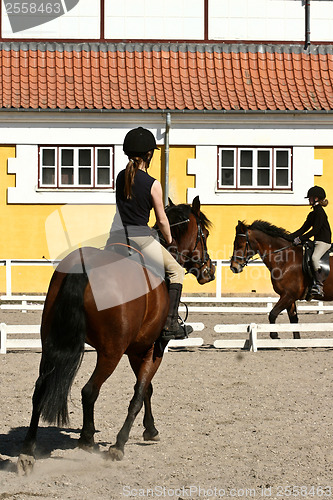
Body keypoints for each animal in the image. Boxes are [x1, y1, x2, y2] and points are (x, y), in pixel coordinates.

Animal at [16, 195, 214, 472]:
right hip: (111, 352)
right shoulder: (152, 349)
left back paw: (27, 452)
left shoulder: (136, 350)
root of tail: (83, 267)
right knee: (89, 391)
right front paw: (121, 444)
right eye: (204, 234)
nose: (210, 271)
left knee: (41, 390)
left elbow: (146, 389)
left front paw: (150, 430)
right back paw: (88, 439)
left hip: (52, 343)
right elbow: (140, 392)